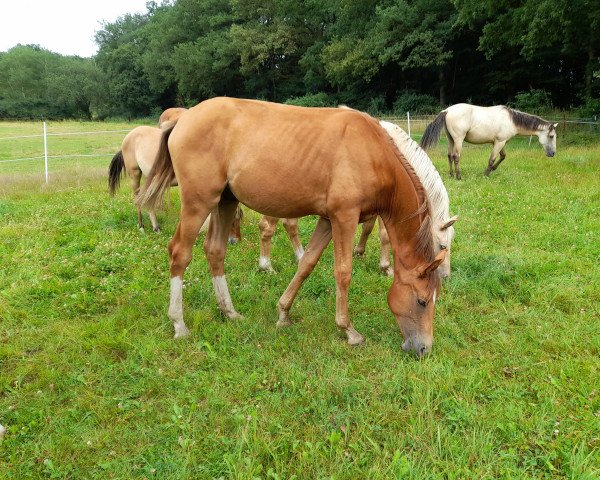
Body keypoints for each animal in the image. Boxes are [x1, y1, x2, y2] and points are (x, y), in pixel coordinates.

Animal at [136, 97, 446, 358]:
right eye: (421, 301)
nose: (424, 349)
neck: (372, 152)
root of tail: (182, 120)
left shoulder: (327, 219)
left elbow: (306, 263)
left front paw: (283, 313)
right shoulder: (344, 217)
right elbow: (343, 272)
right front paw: (348, 330)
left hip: (225, 201)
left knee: (214, 251)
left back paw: (229, 311)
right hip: (199, 203)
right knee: (179, 253)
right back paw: (179, 323)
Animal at [422, 104, 556, 179]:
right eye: (551, 136)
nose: (553, 154)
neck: (511, 120)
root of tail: (447, 110)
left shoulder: (500, 142)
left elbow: (503, 156)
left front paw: (493, 169)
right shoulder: (499, 142)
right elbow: (492, 159)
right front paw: (486, 174)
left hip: (451, 139)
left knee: (449, 156)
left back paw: (451, 174)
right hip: (458, 140)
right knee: (456, 156)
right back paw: (459, 176)